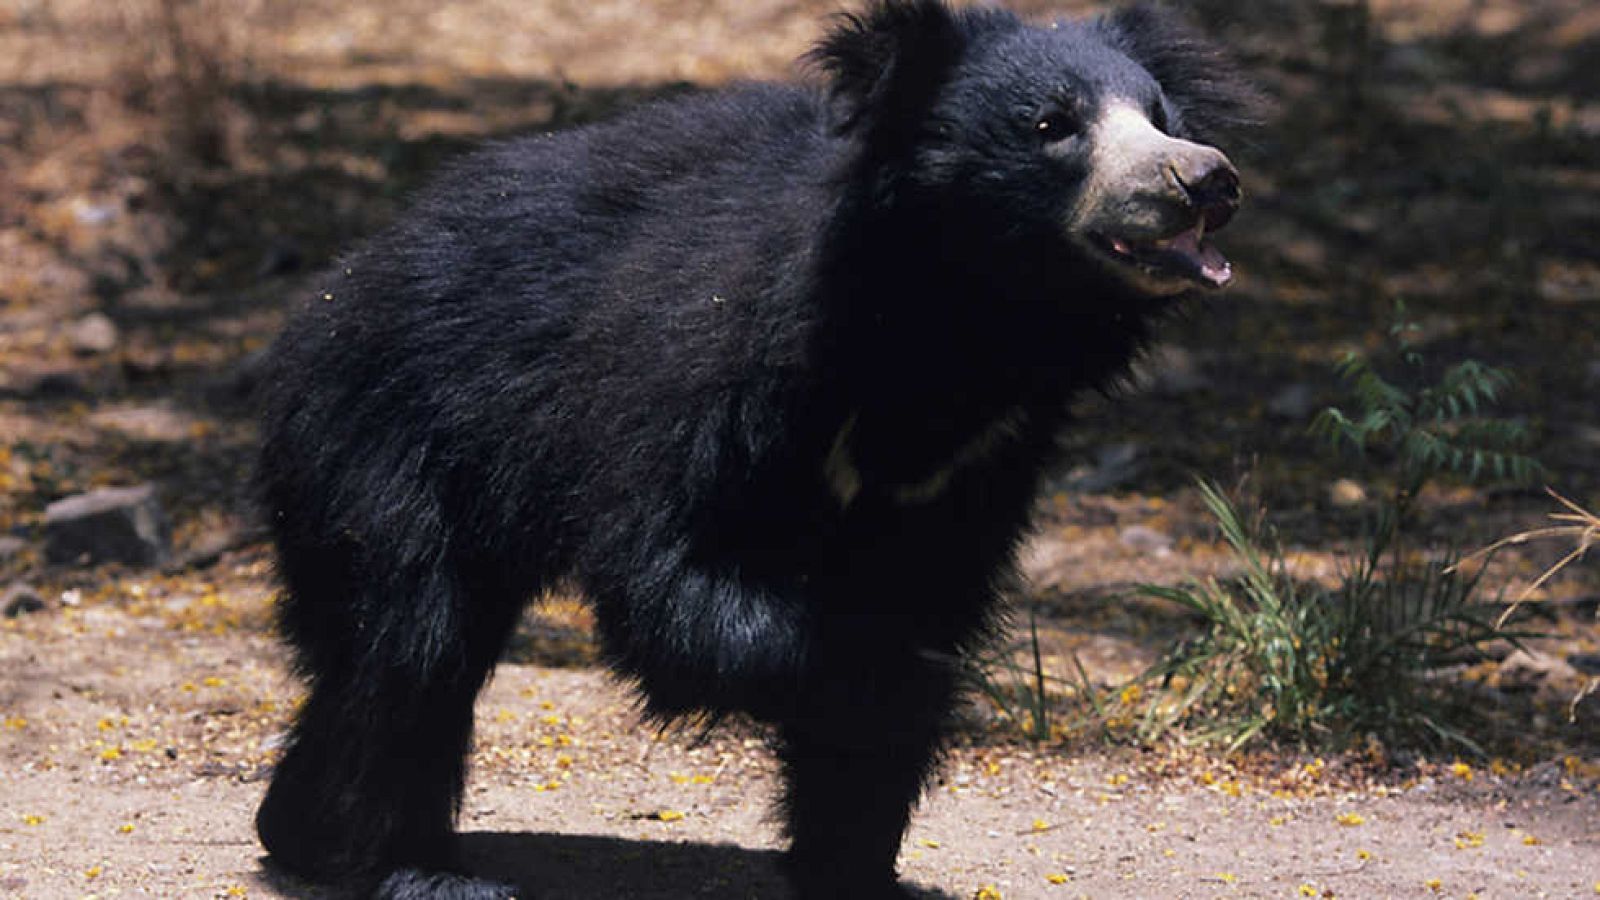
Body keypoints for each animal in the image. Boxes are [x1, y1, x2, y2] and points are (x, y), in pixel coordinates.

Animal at [251, 1, 1255, 898]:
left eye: (1162, 118)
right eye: (1053, 126)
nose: (1208, 180)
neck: (954, 328)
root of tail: (328, 295)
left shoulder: (979, 462)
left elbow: (924, 598)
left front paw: (859, 869)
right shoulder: (710, 368)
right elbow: (668, 582)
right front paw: (882, 679)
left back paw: (302, 833)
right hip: (390, 440)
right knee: (411, 643)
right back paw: (407, 867)